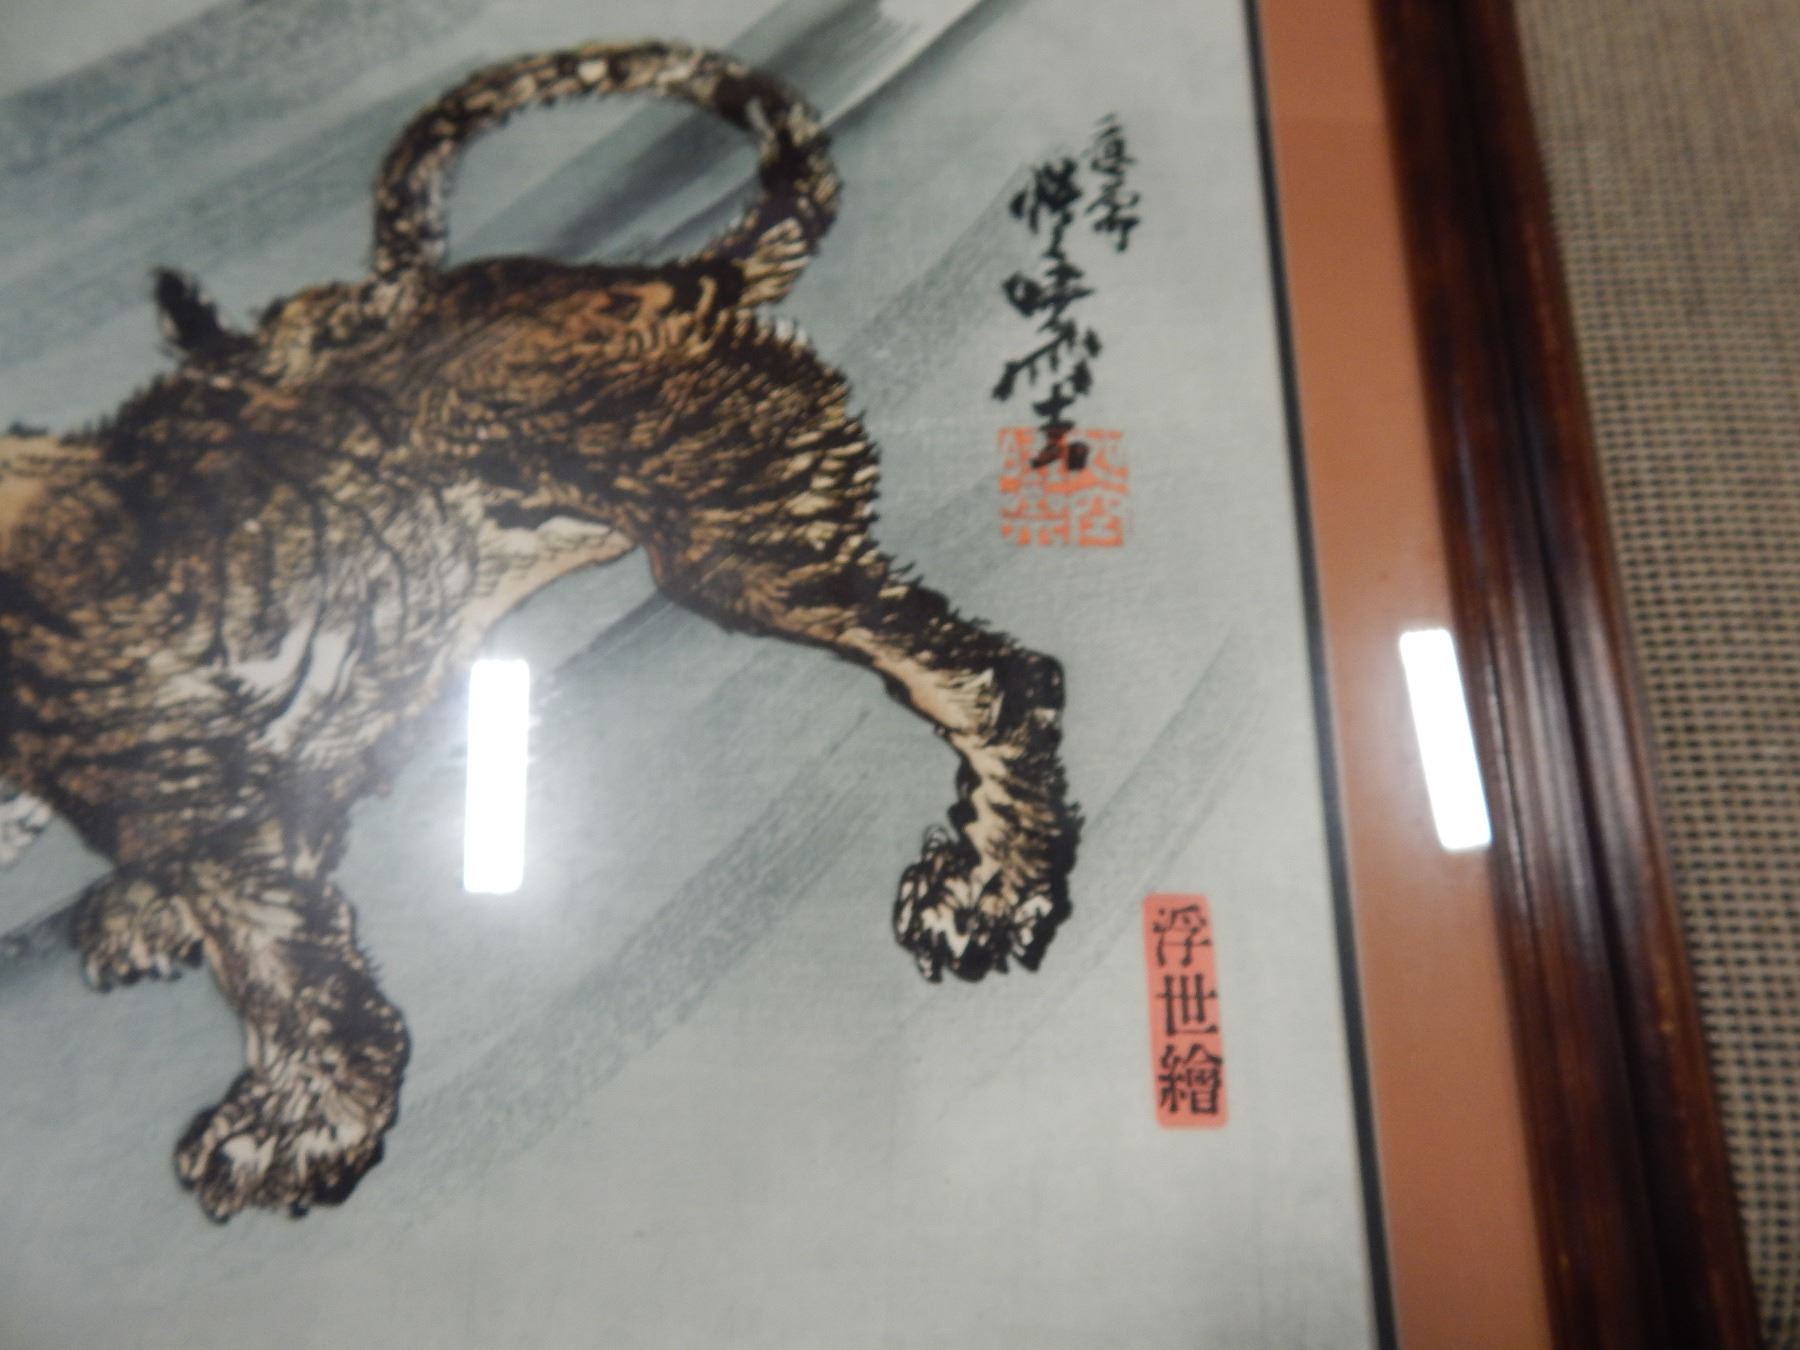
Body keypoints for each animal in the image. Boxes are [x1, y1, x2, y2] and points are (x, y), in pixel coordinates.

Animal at [0, 40, 1079, 1221]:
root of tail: (675, 280)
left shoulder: (198, 794)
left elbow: (283, 971)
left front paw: (294, 1125)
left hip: (741, 548)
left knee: (988, 678)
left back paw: (992, 885)